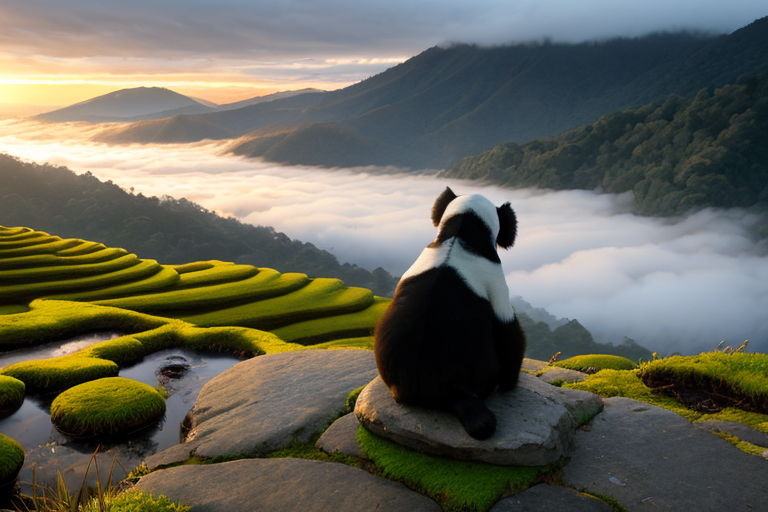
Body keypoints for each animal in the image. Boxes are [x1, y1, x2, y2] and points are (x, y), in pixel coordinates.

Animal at [374, 186, 526, 440]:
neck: (460, 234)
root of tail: (455, 392)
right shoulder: (494, 280)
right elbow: (509, 333)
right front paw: (512, 382)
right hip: (483, 375)